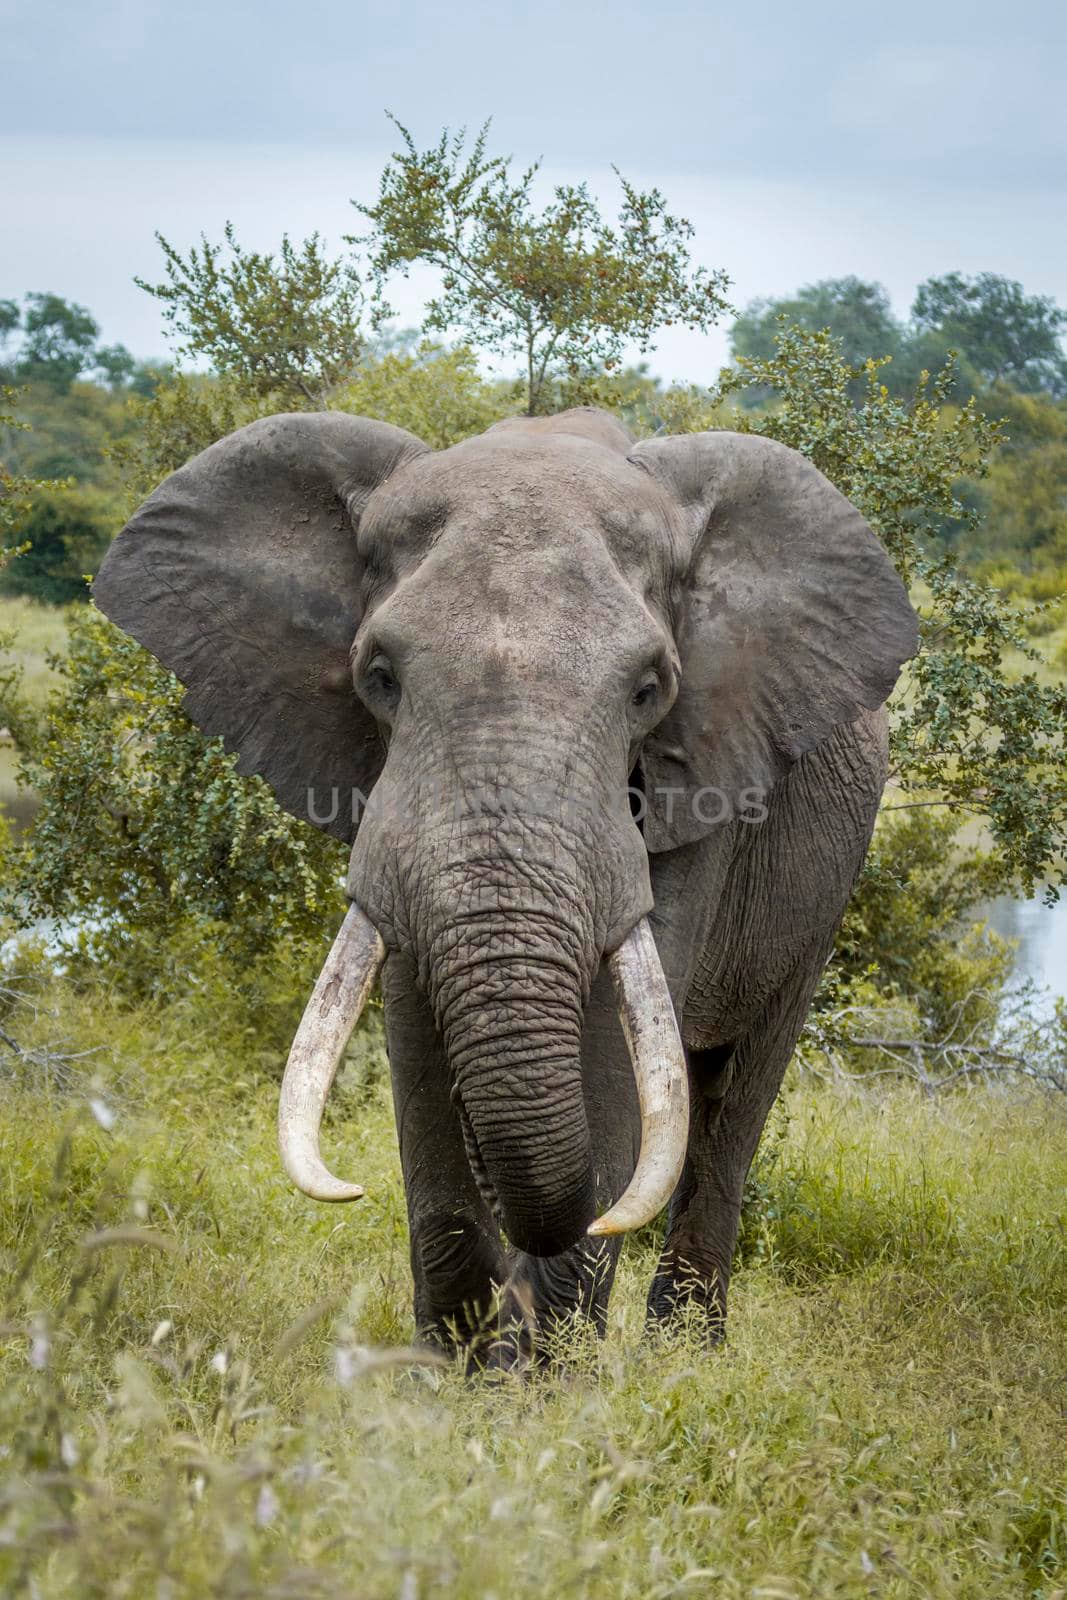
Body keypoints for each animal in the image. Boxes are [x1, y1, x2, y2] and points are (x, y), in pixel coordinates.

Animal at [93, 406, 921, 1356]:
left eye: (649, 689)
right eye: (379, 677)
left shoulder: (699, 780)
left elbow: (613, 1049)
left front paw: (548, 1372)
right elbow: (413, 1028)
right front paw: (454, 1371)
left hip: (824, 882)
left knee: (734, 1090)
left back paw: (683, 1353)